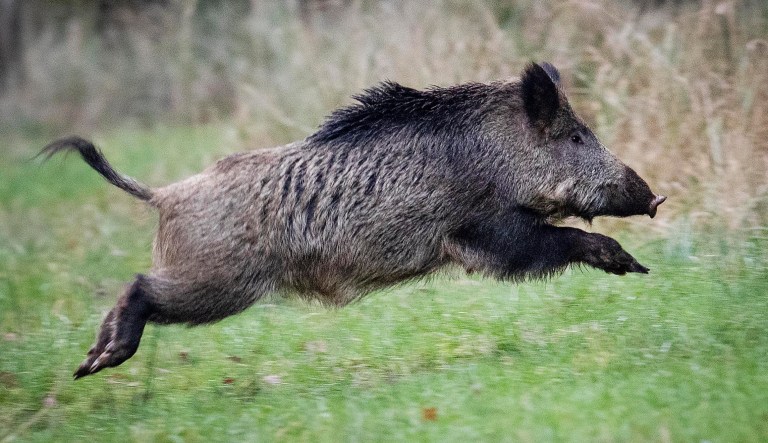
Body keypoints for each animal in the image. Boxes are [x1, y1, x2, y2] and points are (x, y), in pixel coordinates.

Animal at [41, 62, 666, 379]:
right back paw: (96, 365)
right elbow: (556, 241)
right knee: (140, 287)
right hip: (216, 280)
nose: (656, 198)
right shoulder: (479, 234)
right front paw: (632, 265)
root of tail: (164, 195)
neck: (494, 156)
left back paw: (88, 363)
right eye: (576, 137)